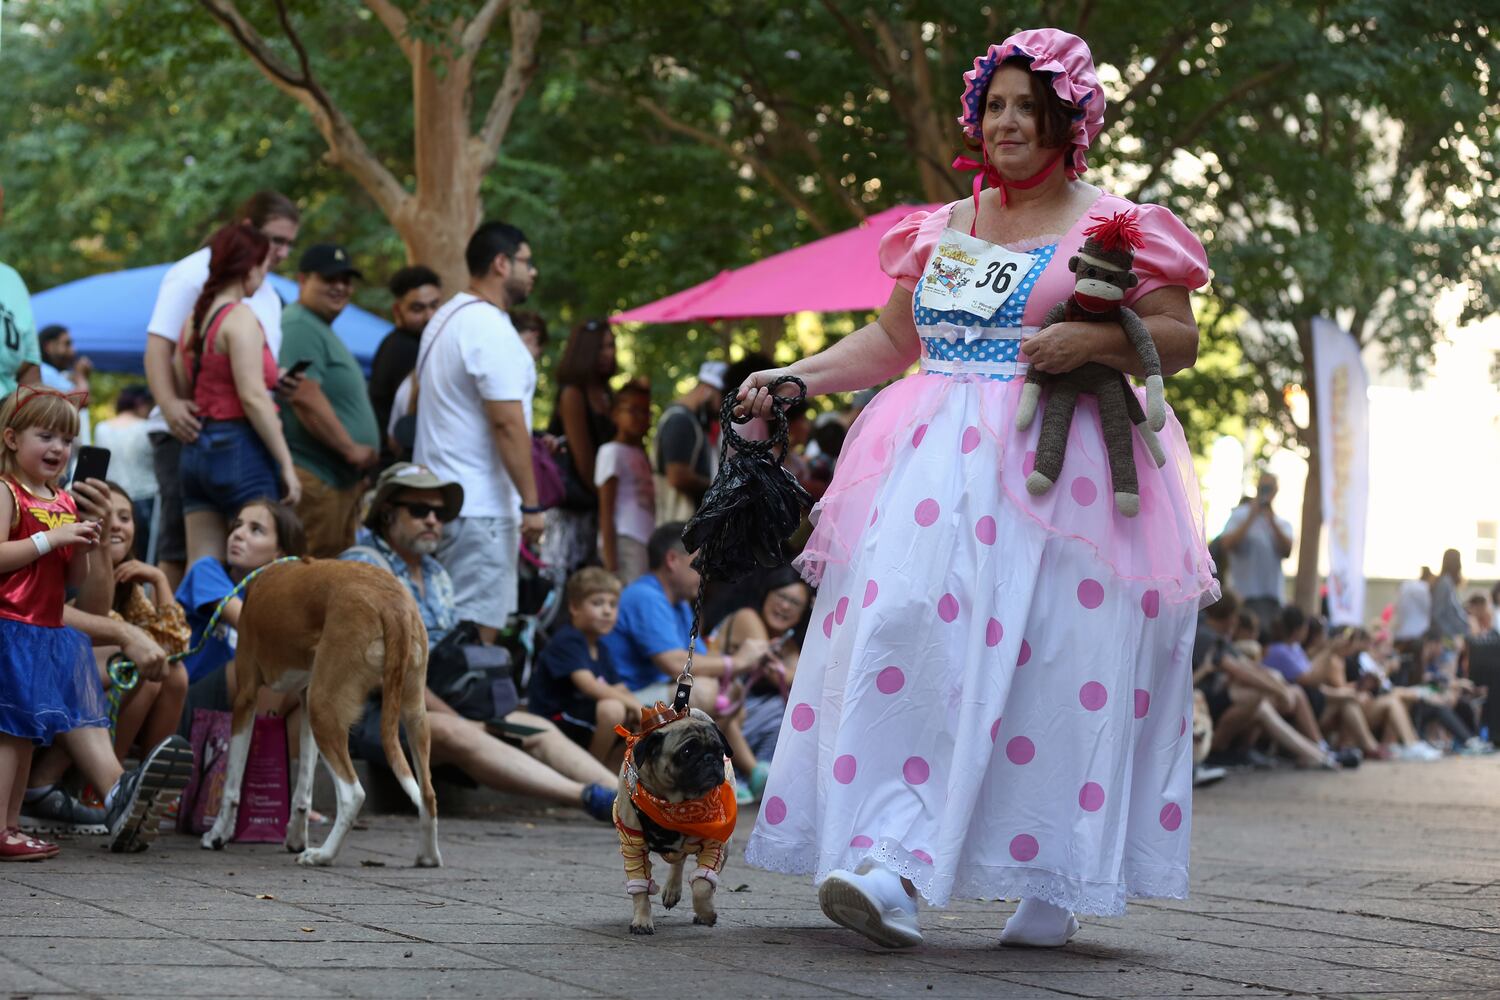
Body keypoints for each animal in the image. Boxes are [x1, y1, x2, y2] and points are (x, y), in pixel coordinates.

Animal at [198, 563, 438, 869]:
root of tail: (392, 604)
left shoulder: (246, 698)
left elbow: (231, 784)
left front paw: (217, 835)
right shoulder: (304, 704)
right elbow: (303, 790)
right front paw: (295, 838)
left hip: (323, 708)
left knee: (353, 794)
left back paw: (323, 855)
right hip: (409, 713)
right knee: (427, 793)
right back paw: (428, 857)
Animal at [615, 707, 738, 935]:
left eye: (719, 750)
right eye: (687, 752)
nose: (710, 758)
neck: (676, 803)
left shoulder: (714, 844)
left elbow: (702, 886)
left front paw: (706, 913)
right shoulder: (632, 845)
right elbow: (640, 889)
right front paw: (642, 920)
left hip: (726, 847)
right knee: (678, 861)